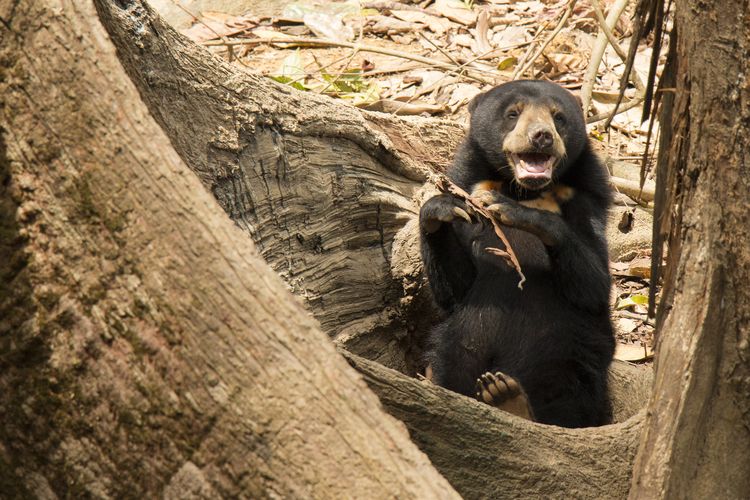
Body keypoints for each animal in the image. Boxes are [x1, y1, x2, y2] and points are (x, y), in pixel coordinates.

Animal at [420, 80, 612, 428]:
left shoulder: (585, 200)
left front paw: (512, 211)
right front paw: (440, 208)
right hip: (460, 340)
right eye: (513, 114)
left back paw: (512, 399)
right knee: (451, 361)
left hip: (573, 348)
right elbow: (454, 287)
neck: (524, 189)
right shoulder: (470, 184)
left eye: (558, 117)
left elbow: (594, 285)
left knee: (573, 386)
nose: (542, 136)